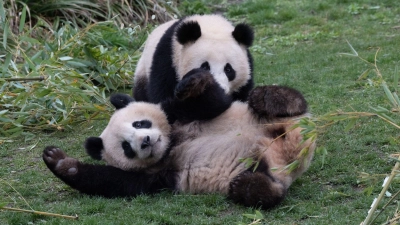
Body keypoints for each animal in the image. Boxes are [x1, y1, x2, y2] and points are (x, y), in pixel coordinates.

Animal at [43, 70, 316, 209]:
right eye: (126, 147)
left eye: (140, 123)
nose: (146, 141)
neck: (172, 142)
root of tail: (290, 151)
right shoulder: (157, 174)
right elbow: (118, 182)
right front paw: (59, 161)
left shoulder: (178, 114)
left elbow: (213, 103)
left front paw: (193, 83)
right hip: (264, 166)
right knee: (271, 190)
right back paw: (251, 186)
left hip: (277, 121)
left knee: (292, 104)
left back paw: (269, 98)